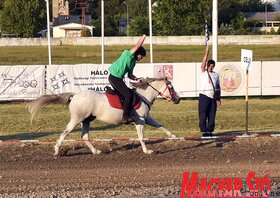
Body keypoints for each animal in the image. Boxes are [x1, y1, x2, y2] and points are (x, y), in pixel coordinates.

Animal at [29, 77, 179, 156]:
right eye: (171, 88)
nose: (178, 99)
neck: (143, 96)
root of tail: (75, 95)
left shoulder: (146, 118)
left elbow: (160, 125)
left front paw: (173, 136)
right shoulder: (140, 121)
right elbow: (141, 137)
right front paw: (147, 150)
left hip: (86, 120)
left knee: (84, 136)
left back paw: (96, 150)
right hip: (77, 118)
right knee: (65, 132)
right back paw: (56, 150)